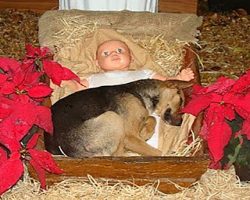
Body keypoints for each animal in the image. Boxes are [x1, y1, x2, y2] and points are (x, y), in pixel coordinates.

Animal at [44, 79, 191, 157]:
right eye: (181, 101)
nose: (180, 123)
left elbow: (151, 118)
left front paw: (145, 132)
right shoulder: (129, 137)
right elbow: (159, 152)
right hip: (112, 117)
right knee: (118, 153)